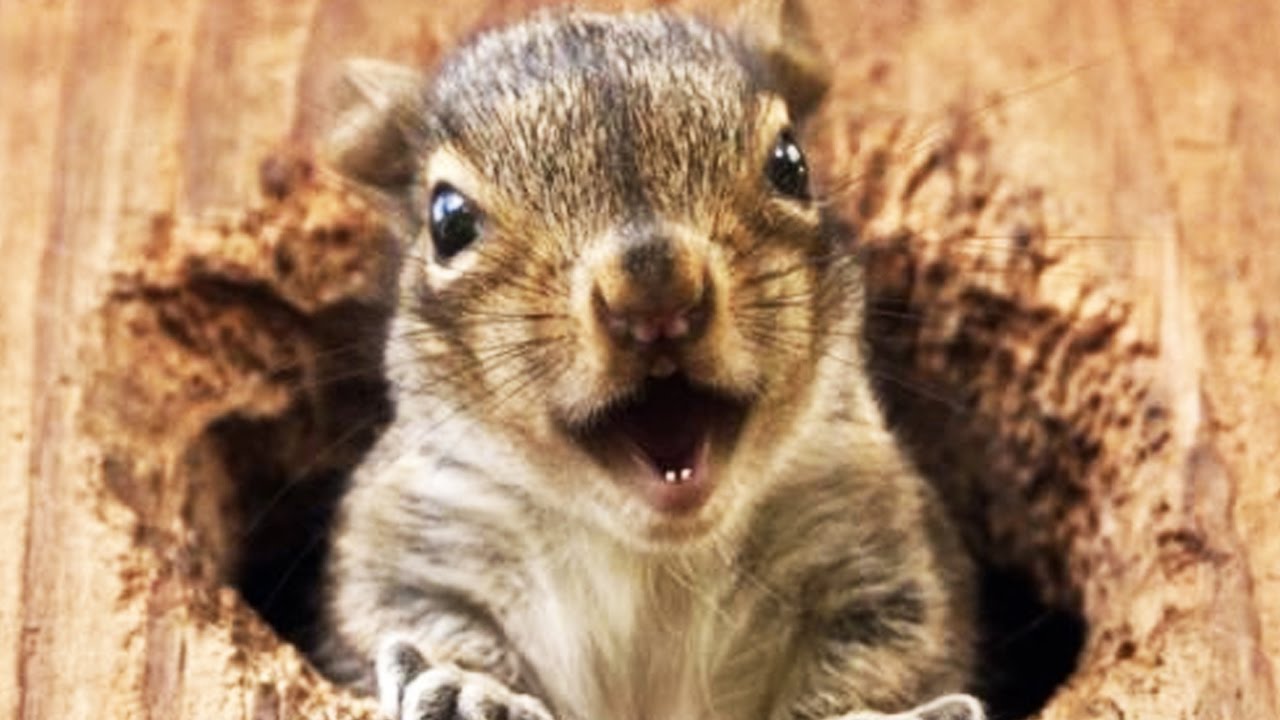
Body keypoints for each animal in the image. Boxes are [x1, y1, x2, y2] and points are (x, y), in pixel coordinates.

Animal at [319, 2, 985, 719]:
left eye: (791, 163)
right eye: (448, 221)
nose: (654, 291)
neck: (653, 556)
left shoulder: (884, 550)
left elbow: (891, 656)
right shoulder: (409, 545)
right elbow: (407, 621)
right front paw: (472, 691)